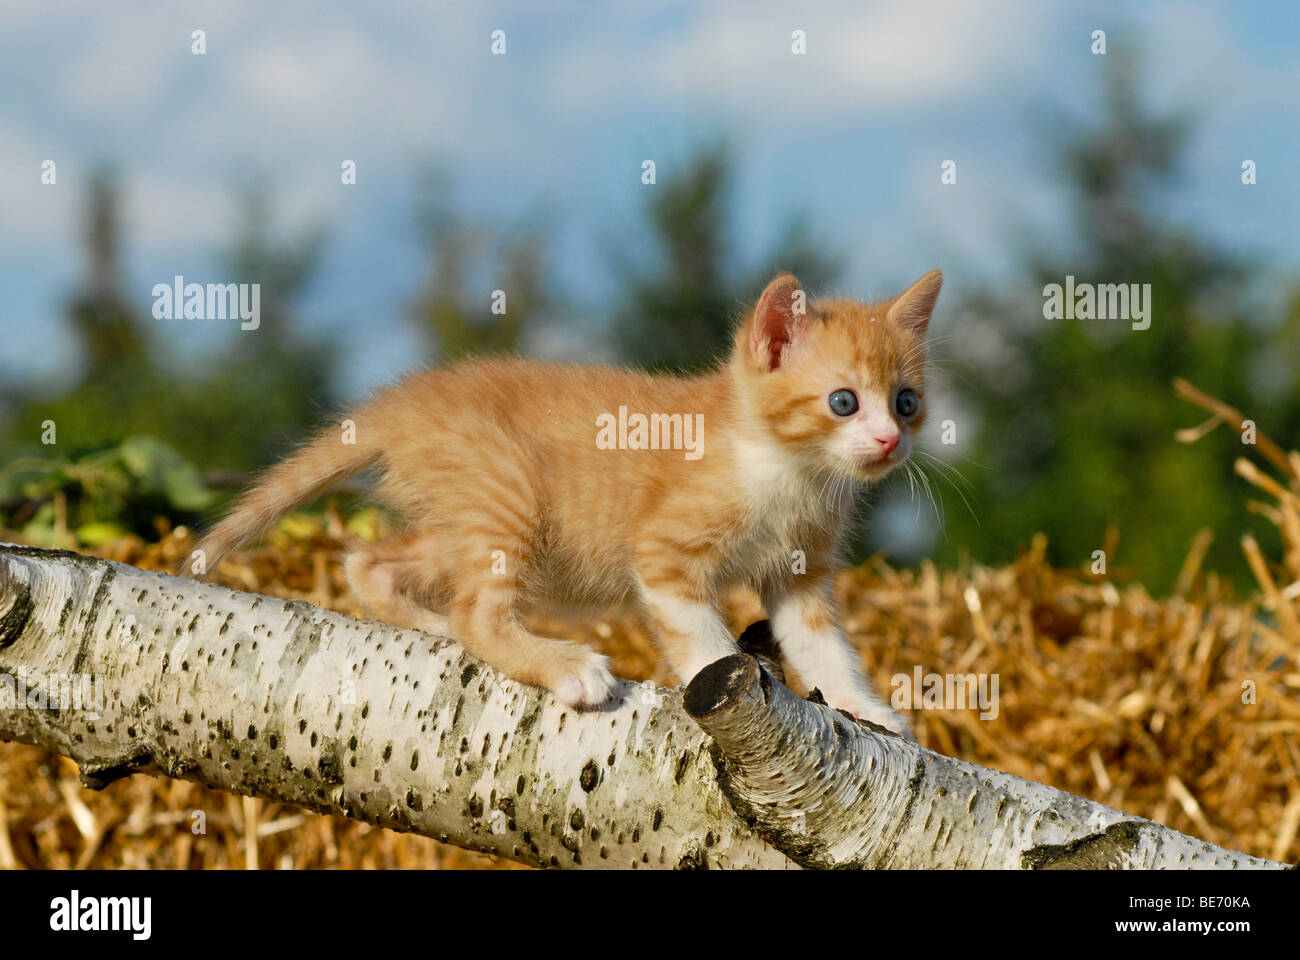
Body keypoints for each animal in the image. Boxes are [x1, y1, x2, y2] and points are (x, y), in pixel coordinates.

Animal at [188, 269, 941, 733]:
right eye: (843, 402)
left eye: (906, 403)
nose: (888, 440)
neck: (787, 467)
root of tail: (400, 404)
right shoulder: (664, 552)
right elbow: (702, 638)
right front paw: (719, 671)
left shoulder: (800, 574)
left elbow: (823, 646)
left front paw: (864, 709)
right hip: (509, 496)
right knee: (475, 610)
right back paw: (563, 665)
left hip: (467, 516)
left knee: (370, 562)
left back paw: (428, 626)